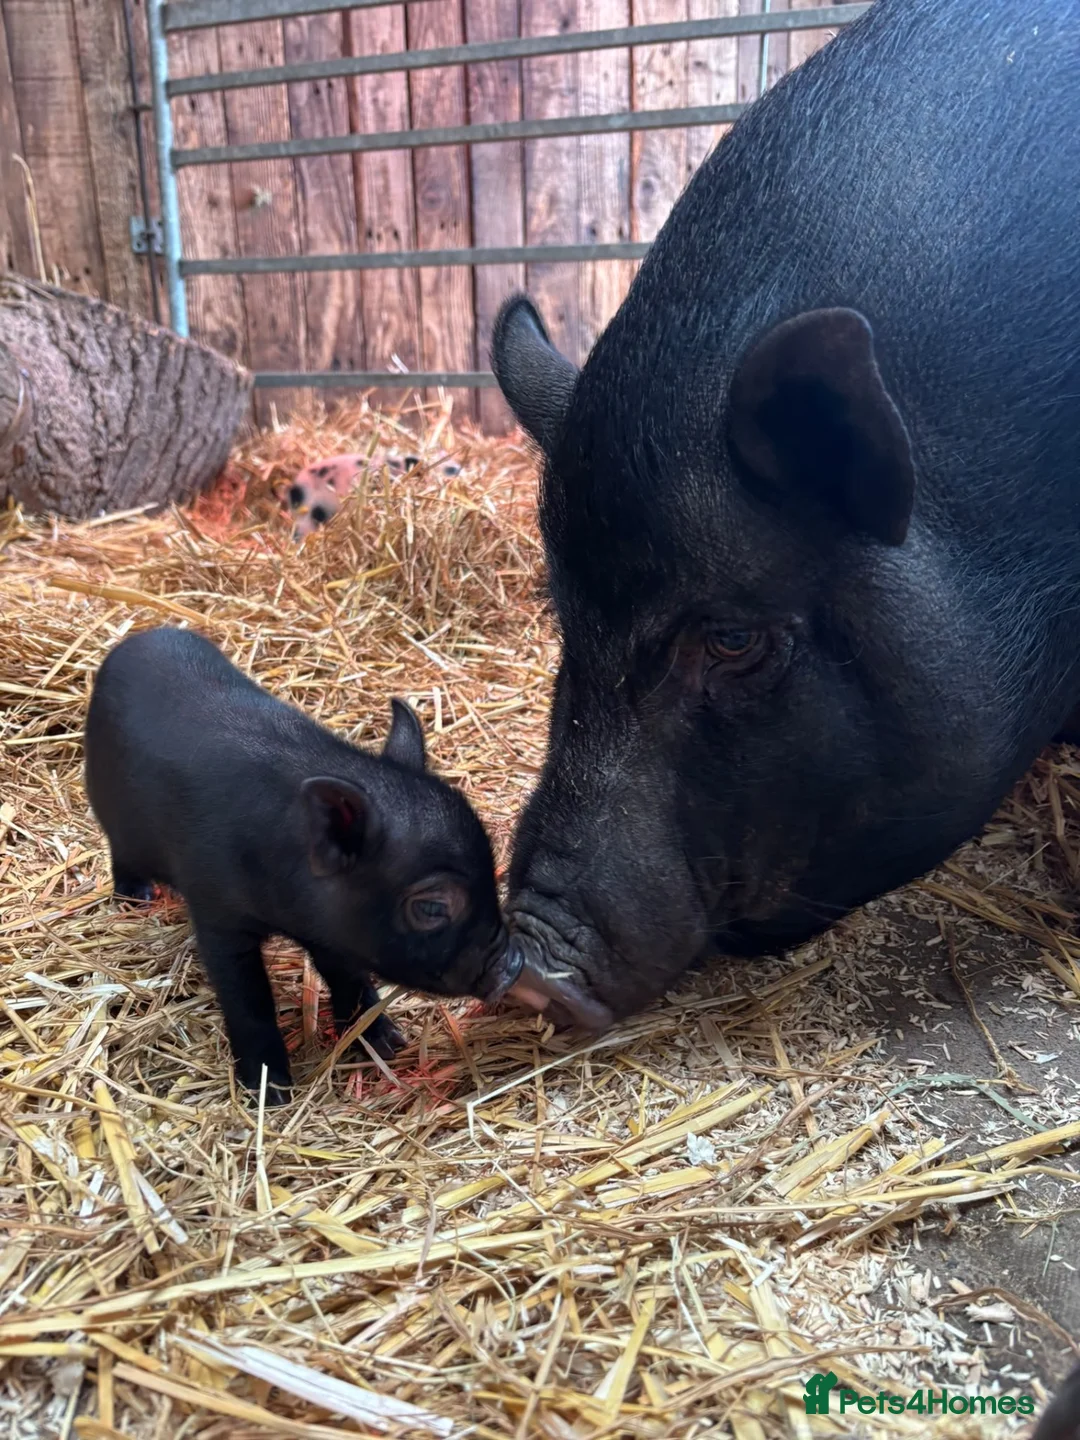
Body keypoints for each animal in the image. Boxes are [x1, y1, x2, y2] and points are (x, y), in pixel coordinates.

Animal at [84, 627, 518, 1102]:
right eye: (433, 908)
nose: (513, 964)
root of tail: (139, 638)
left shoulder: (331, 931)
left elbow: (348, 975)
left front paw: (388, 1043)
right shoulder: (218, 917)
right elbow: (248, 999)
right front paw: (271, 1093)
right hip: (112, 813)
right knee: (119, 852)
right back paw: (136, 898)